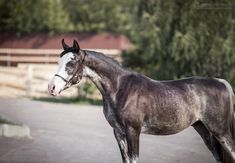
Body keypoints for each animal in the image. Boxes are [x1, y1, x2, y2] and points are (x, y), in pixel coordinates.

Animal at [48, 39, 235, 163]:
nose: (51, 87)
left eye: (71, 63)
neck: (120, 88)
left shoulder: (133, 131)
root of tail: (222, 83)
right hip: (205, 131)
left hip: (220, 131)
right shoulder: (119, 133)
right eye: (59, 61)